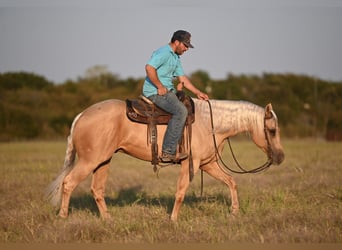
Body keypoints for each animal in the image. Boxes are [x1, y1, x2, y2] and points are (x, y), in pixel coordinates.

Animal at [46, 97, 286, 221]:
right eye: (272, 130)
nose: (281, 157)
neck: (210, 123)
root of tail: (81, 116)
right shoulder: (191, 164)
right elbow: (180, 192)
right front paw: (173, 219)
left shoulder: (208, 164)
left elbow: (231, 182)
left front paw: (234, 211)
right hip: (90, 161)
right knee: (68, 183)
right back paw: (63, 217)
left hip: (102, 161)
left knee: (97, 189)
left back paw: (108, 219)